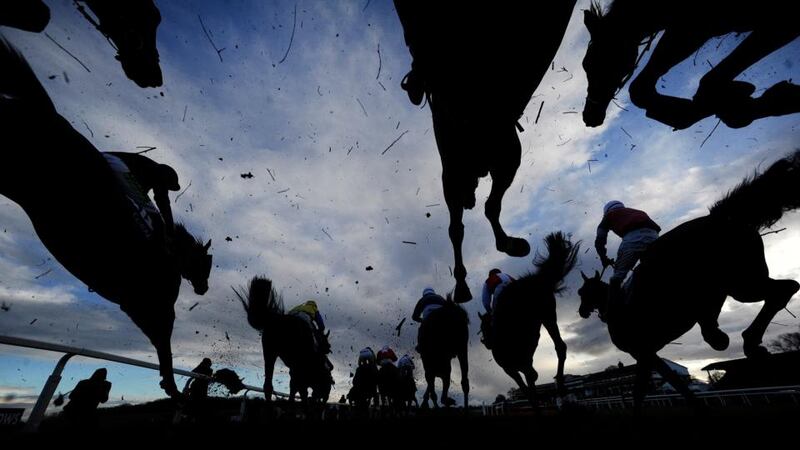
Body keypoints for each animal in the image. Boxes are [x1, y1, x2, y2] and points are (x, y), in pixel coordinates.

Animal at [0, 37, 212, 398]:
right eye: (207, 264)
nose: (204, 289)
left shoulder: (137, 306)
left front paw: (169, 383)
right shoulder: (154, 306)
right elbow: (165, 347)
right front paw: (171, 384)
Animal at [392, 1, 576, 302]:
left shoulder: (504, 158)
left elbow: (492, 206)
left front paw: (508, 243)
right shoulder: (496, 161)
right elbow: (481, 213)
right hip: (458, 174)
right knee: (457, 228)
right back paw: (463, 284)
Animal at [478, 232, 580, 408]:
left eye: (483, 328)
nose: (486, 343)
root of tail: (537, 281)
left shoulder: (511, 367)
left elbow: (527, 387)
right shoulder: (523, 361)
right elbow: (531, 381)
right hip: (548, 315)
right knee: (560, 346)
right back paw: (560, 385)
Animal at [580, 149, 800, 410]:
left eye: (582, 293)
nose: (582, 311)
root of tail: (723, 218)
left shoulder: (642, 351)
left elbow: (647, 389)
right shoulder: (649, 351)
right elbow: (669, 383)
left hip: (741, 283)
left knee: (781, 291)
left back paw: (749, 341)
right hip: (739, 281)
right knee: (786, 288)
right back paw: (734, 339)